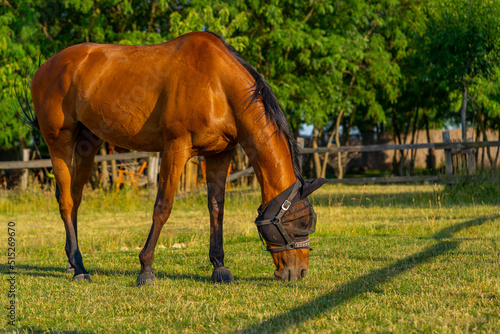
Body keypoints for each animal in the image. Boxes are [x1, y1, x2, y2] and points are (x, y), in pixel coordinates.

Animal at [21, 31, 328, 284]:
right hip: (59, 143)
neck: (218, 84)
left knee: (74, 200)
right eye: (300, 224)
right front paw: (145, 269)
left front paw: (219, 266)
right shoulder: (176, 148)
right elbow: (163, 207)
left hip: (88, 143)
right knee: (66, 201)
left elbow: (216, 208)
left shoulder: (220, 154)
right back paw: (80, 269)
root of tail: (46, 66)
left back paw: (73, 263)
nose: (299, 272)